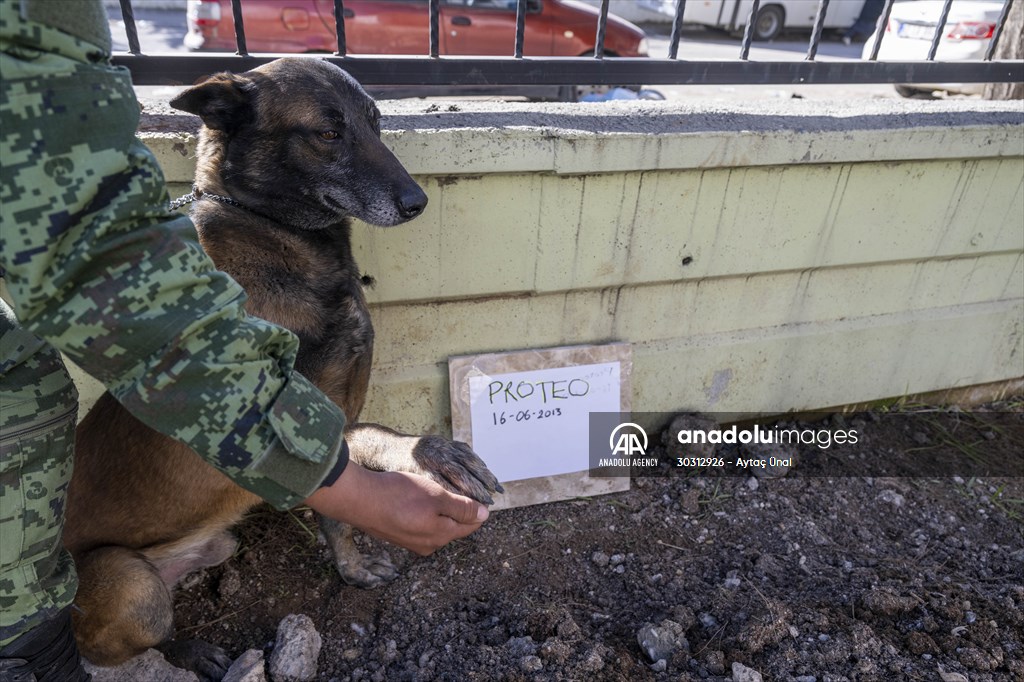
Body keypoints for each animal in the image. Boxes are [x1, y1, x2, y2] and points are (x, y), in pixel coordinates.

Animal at [61, 59, 501, 679]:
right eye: (327, 132)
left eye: (376, 122)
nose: (416, 202)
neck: (280, 237)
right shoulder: (292, 416)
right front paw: (431, 455)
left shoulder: (335, 417)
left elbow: (347, 495)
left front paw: (352, 564)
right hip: (130, 585)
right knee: (139, 636)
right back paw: (193, 651)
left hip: (211, 545)